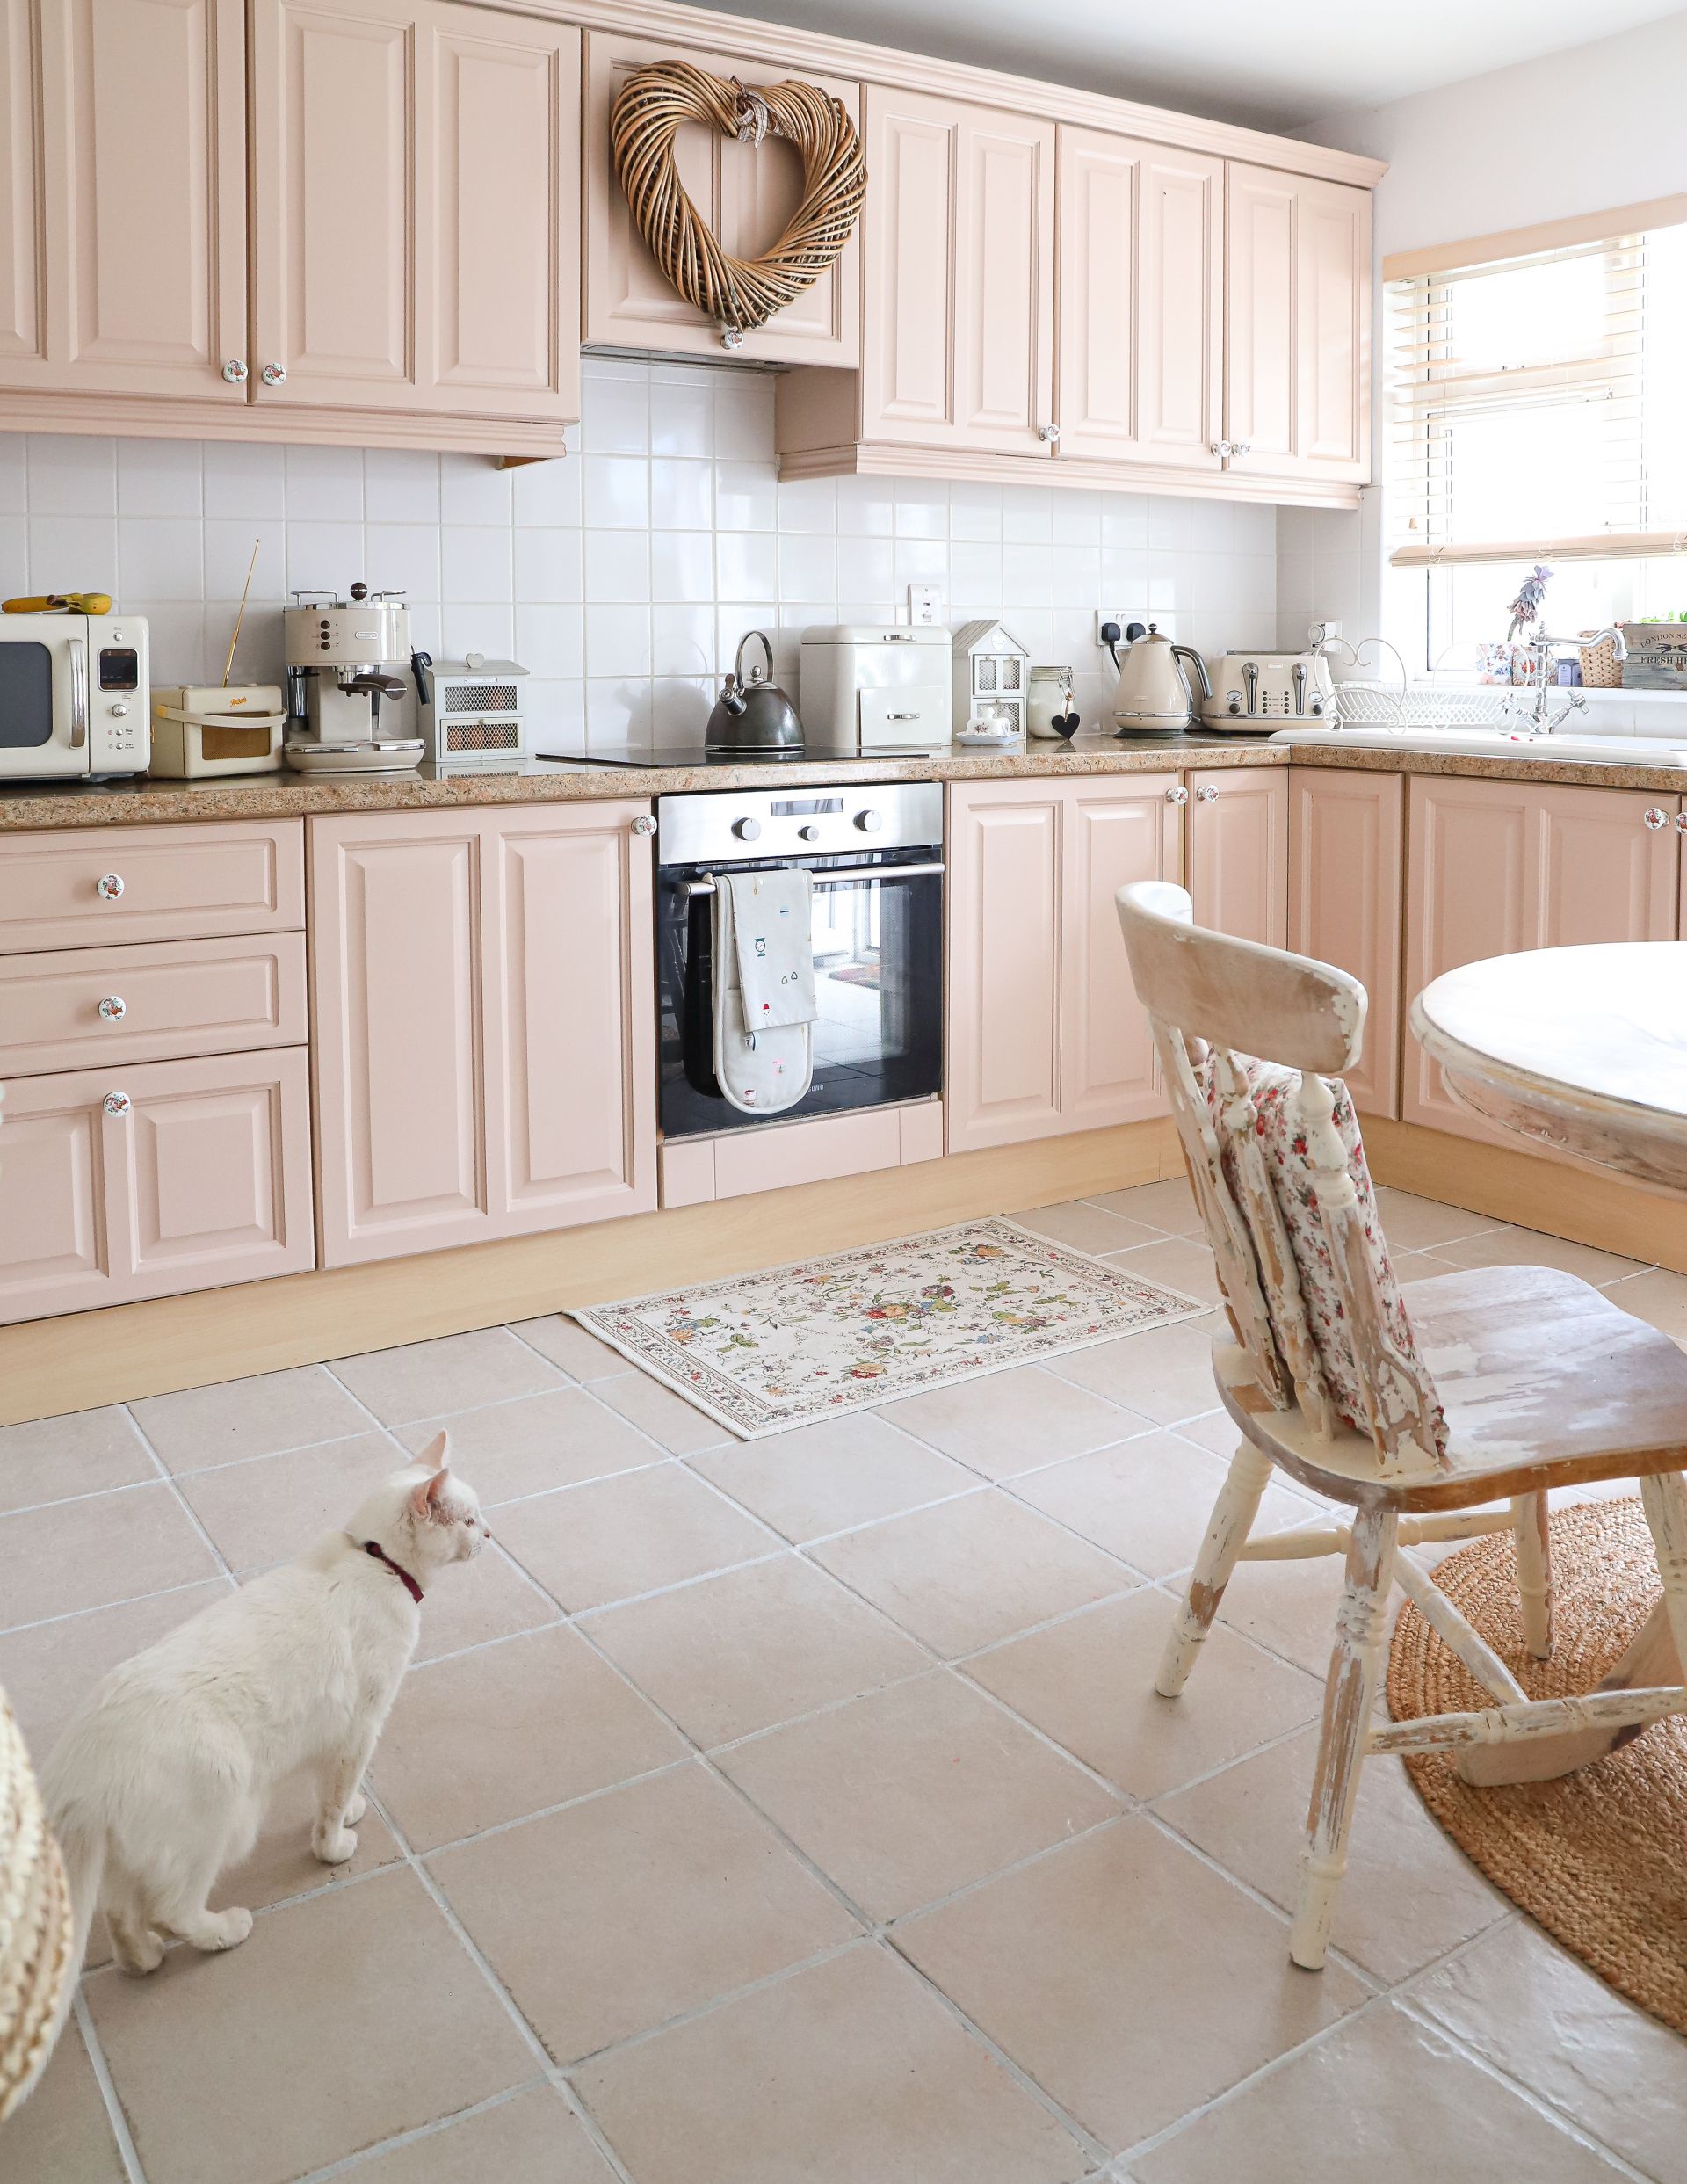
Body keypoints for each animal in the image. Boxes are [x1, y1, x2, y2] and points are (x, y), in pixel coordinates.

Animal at [40, 1433, 486, 2009]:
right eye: (469, 1521)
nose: (490, 1533)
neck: (377, 1562)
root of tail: (79, 1772)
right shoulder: (359, 1730)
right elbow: (332, 1801)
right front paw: (333, 1847)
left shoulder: (330, 1737)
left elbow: (330, 1793)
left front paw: (349, 1814)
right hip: (224, 1818)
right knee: (168, 1910)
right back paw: (225, 1931)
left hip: (129, 1856)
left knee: (119, 1914)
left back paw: (144, 1960)